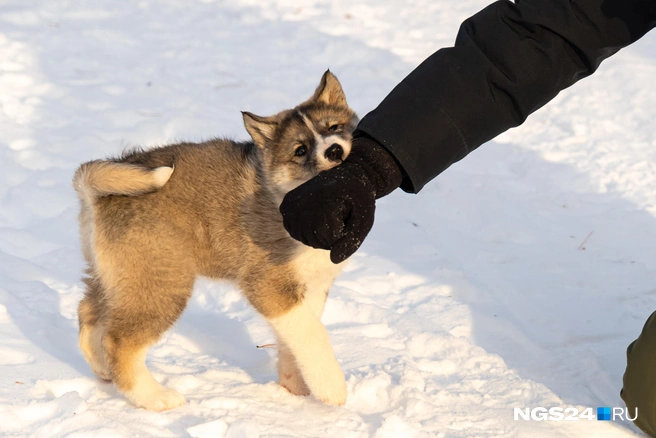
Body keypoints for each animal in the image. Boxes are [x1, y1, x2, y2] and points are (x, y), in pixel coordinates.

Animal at [74, 71, 358, 410]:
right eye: (300, 150)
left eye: (333, 127)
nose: (334, 151)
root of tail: (96, 192)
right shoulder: (268, 286)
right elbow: (313, 334)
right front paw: (332, 388)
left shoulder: (311, 286)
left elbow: (297, 339)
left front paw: (296, 389)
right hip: (163, 282)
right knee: (119, 341)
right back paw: (155, 397)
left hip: (117, 278)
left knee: (88, 314)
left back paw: (102, 368)